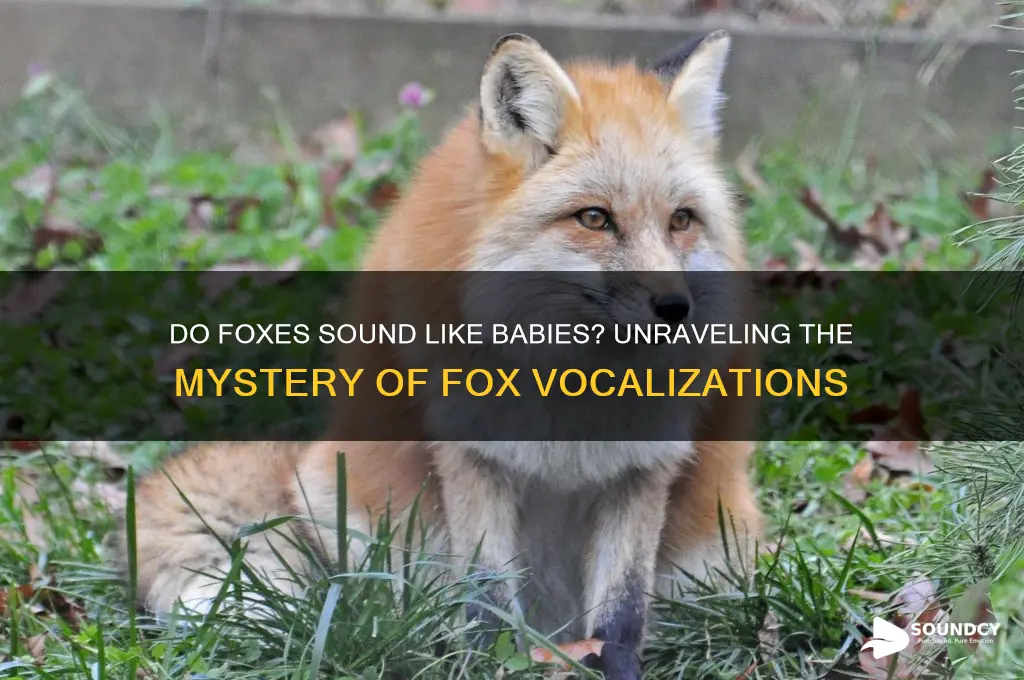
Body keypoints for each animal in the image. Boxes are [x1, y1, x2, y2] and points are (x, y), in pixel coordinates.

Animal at [109, 31, 763, 680]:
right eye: (595, 218)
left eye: (681, 220)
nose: (676, 308)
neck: (572, 396)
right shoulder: (471, 454)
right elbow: (486, 595)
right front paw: (487, 664)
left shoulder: (645, 467)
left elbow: (622, 614)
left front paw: (613, 669)